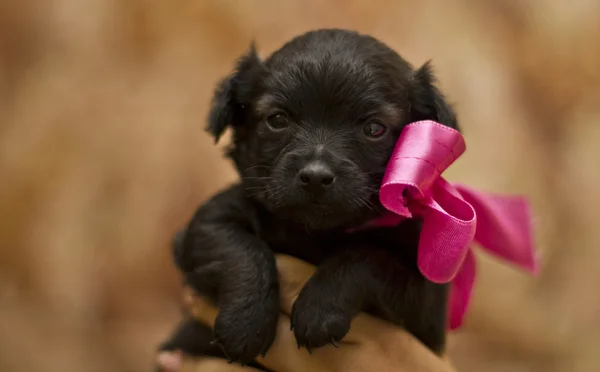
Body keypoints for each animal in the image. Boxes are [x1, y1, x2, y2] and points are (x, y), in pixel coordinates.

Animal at [157, 29, 458, 370]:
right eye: (277, 119)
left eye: (374, 128)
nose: (315, 176)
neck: (314, 232)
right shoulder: (206, 225)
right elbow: (242, 250)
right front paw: (244, 322)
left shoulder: (426, 298)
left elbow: (366, 257)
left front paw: (319, 310)